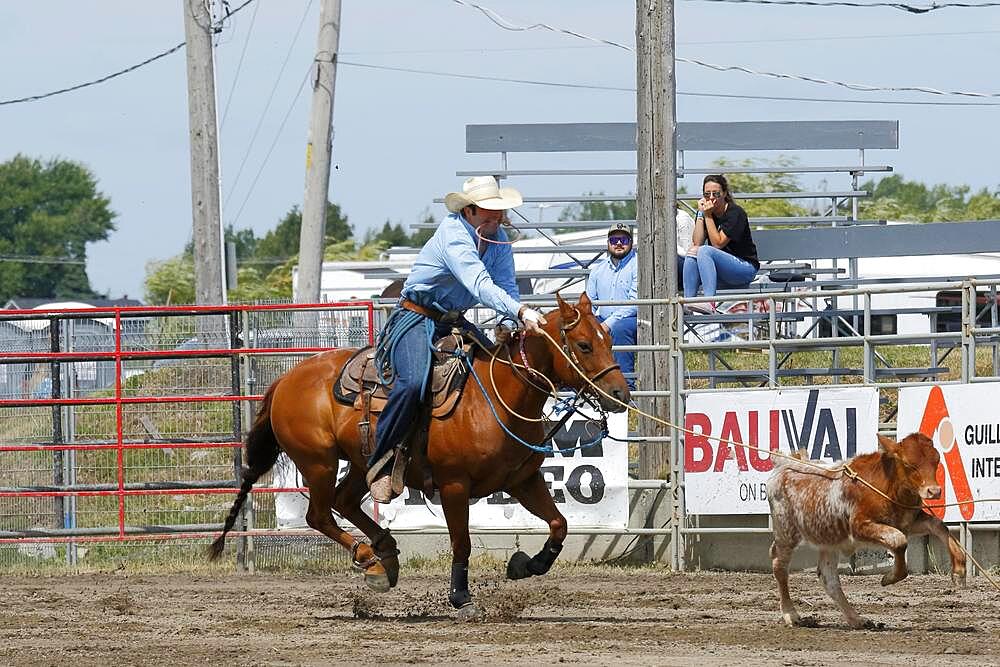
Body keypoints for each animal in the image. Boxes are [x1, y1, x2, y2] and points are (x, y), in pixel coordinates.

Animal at [210, 294, 628, 620]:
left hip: (363, 463)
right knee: (319, 514)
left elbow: (559, 524)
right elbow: (462, 542)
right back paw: (371, 558)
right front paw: (461, 599)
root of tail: (286, 379)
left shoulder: (522, 480)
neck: (495, 399)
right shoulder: (454, 485)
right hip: (319, 462)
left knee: (345, 501)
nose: (620, 394)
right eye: (584, 345)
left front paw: (527, 565)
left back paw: (386, 553)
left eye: (608, 339)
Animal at [764, 430, 968, 628]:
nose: (934, 491)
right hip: (786, 532)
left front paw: (959, 572)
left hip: (829, 539)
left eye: (936, 459)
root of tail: (784, 464)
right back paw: (791, 614)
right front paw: (889, 578)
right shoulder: (860, 526)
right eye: (908, 464)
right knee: (779, 566)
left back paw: (856, 619)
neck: (886, 486)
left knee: (828, 578)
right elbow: (899, 541)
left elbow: (938, 526)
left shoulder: (909, 521)